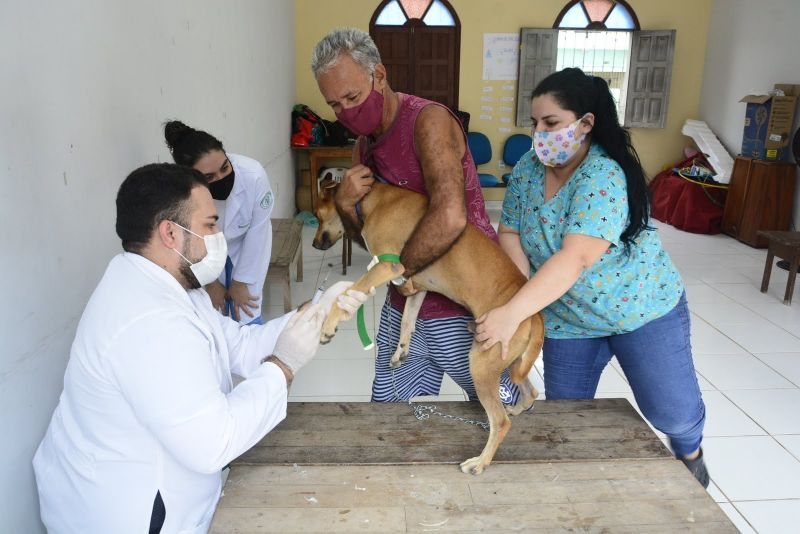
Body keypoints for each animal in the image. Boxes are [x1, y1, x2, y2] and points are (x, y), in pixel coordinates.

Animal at [312, 182, 544, 476]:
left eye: (317, 214)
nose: (313, 243)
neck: (371, 198)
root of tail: (534, 315)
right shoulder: (416, 288)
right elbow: (407, 321)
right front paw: (400, 351)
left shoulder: (387, 265)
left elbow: (349, 293)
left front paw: (329, 325)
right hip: (511, 362)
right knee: (530, 392)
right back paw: (516, 409)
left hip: (481, 364)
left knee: (500, 422)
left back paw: (480, 461)